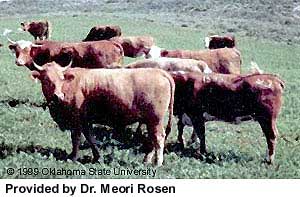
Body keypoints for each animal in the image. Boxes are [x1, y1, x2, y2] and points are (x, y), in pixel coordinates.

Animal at [31, 62, 173, 166]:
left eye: (61, 78)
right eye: (46, 79)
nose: (58, 96)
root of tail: (160, 72)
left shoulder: (76, 120)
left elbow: (76, 138)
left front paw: (73, 157)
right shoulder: (85, 120)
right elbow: (90, 138)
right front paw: (97, 156)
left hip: (155, 119)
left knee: (158, 138)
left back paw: (157, 162)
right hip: (150, 121)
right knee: (152, 139)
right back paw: (146, 160)